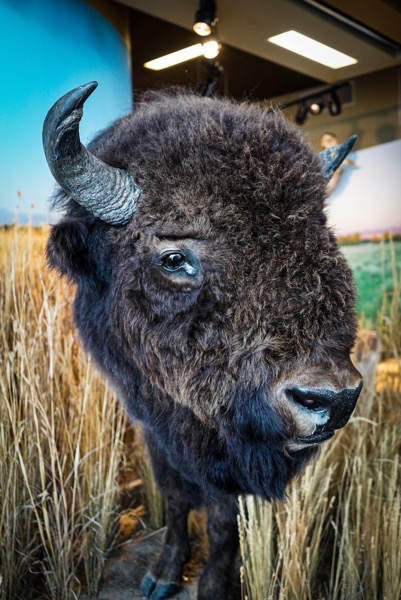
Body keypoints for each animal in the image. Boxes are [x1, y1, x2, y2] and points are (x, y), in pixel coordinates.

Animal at [43, 83, 362, 600]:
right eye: (174, 257)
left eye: (321, 240)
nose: (330, 398)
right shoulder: (151, 426)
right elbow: (174, 498)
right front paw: (161, 575)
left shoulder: (226, 460)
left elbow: (221, 519)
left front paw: (212, 586)